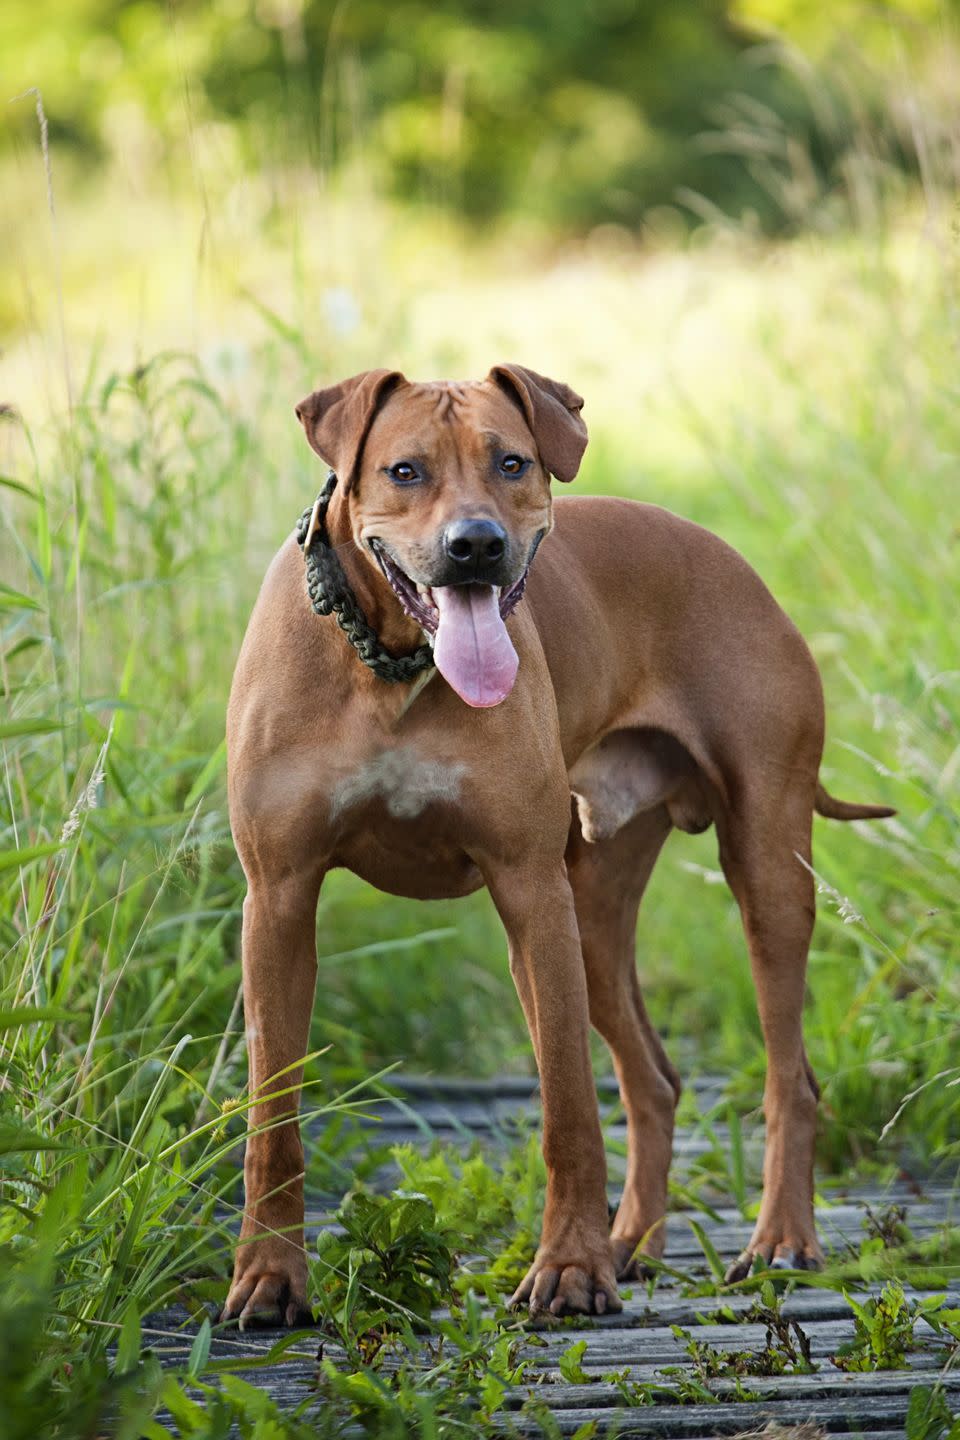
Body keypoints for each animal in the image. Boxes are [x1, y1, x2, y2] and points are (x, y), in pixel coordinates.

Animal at [223, 368, 892, 1324]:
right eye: (404, 470)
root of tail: (735, 562)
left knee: (788, 1078)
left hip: (760, 869)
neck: (392, 666)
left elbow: (569, 1109)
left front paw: (571, 1268)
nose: (475, 546)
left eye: (513, 462)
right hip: (597, 913)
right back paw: (633, 1243)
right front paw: (270, 1277)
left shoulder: (531, 894)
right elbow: (272, 1116)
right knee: (653, 1080)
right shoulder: (279, 897)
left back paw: (778, 1241)